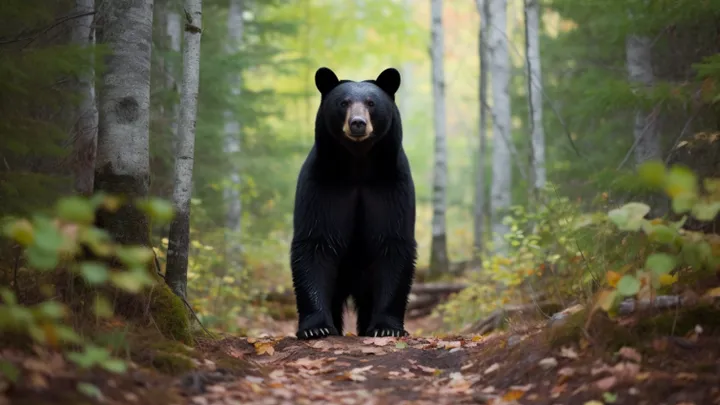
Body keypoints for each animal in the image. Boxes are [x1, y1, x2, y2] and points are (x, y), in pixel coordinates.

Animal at [290, 66, 417, 340]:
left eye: (371, 103)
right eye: (343, 102)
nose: (357, 123)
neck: (357, 166)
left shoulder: (390, 186)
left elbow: (393, 243)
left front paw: (386, 327)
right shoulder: (323, 185)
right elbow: (315, 242)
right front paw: (315, 327)